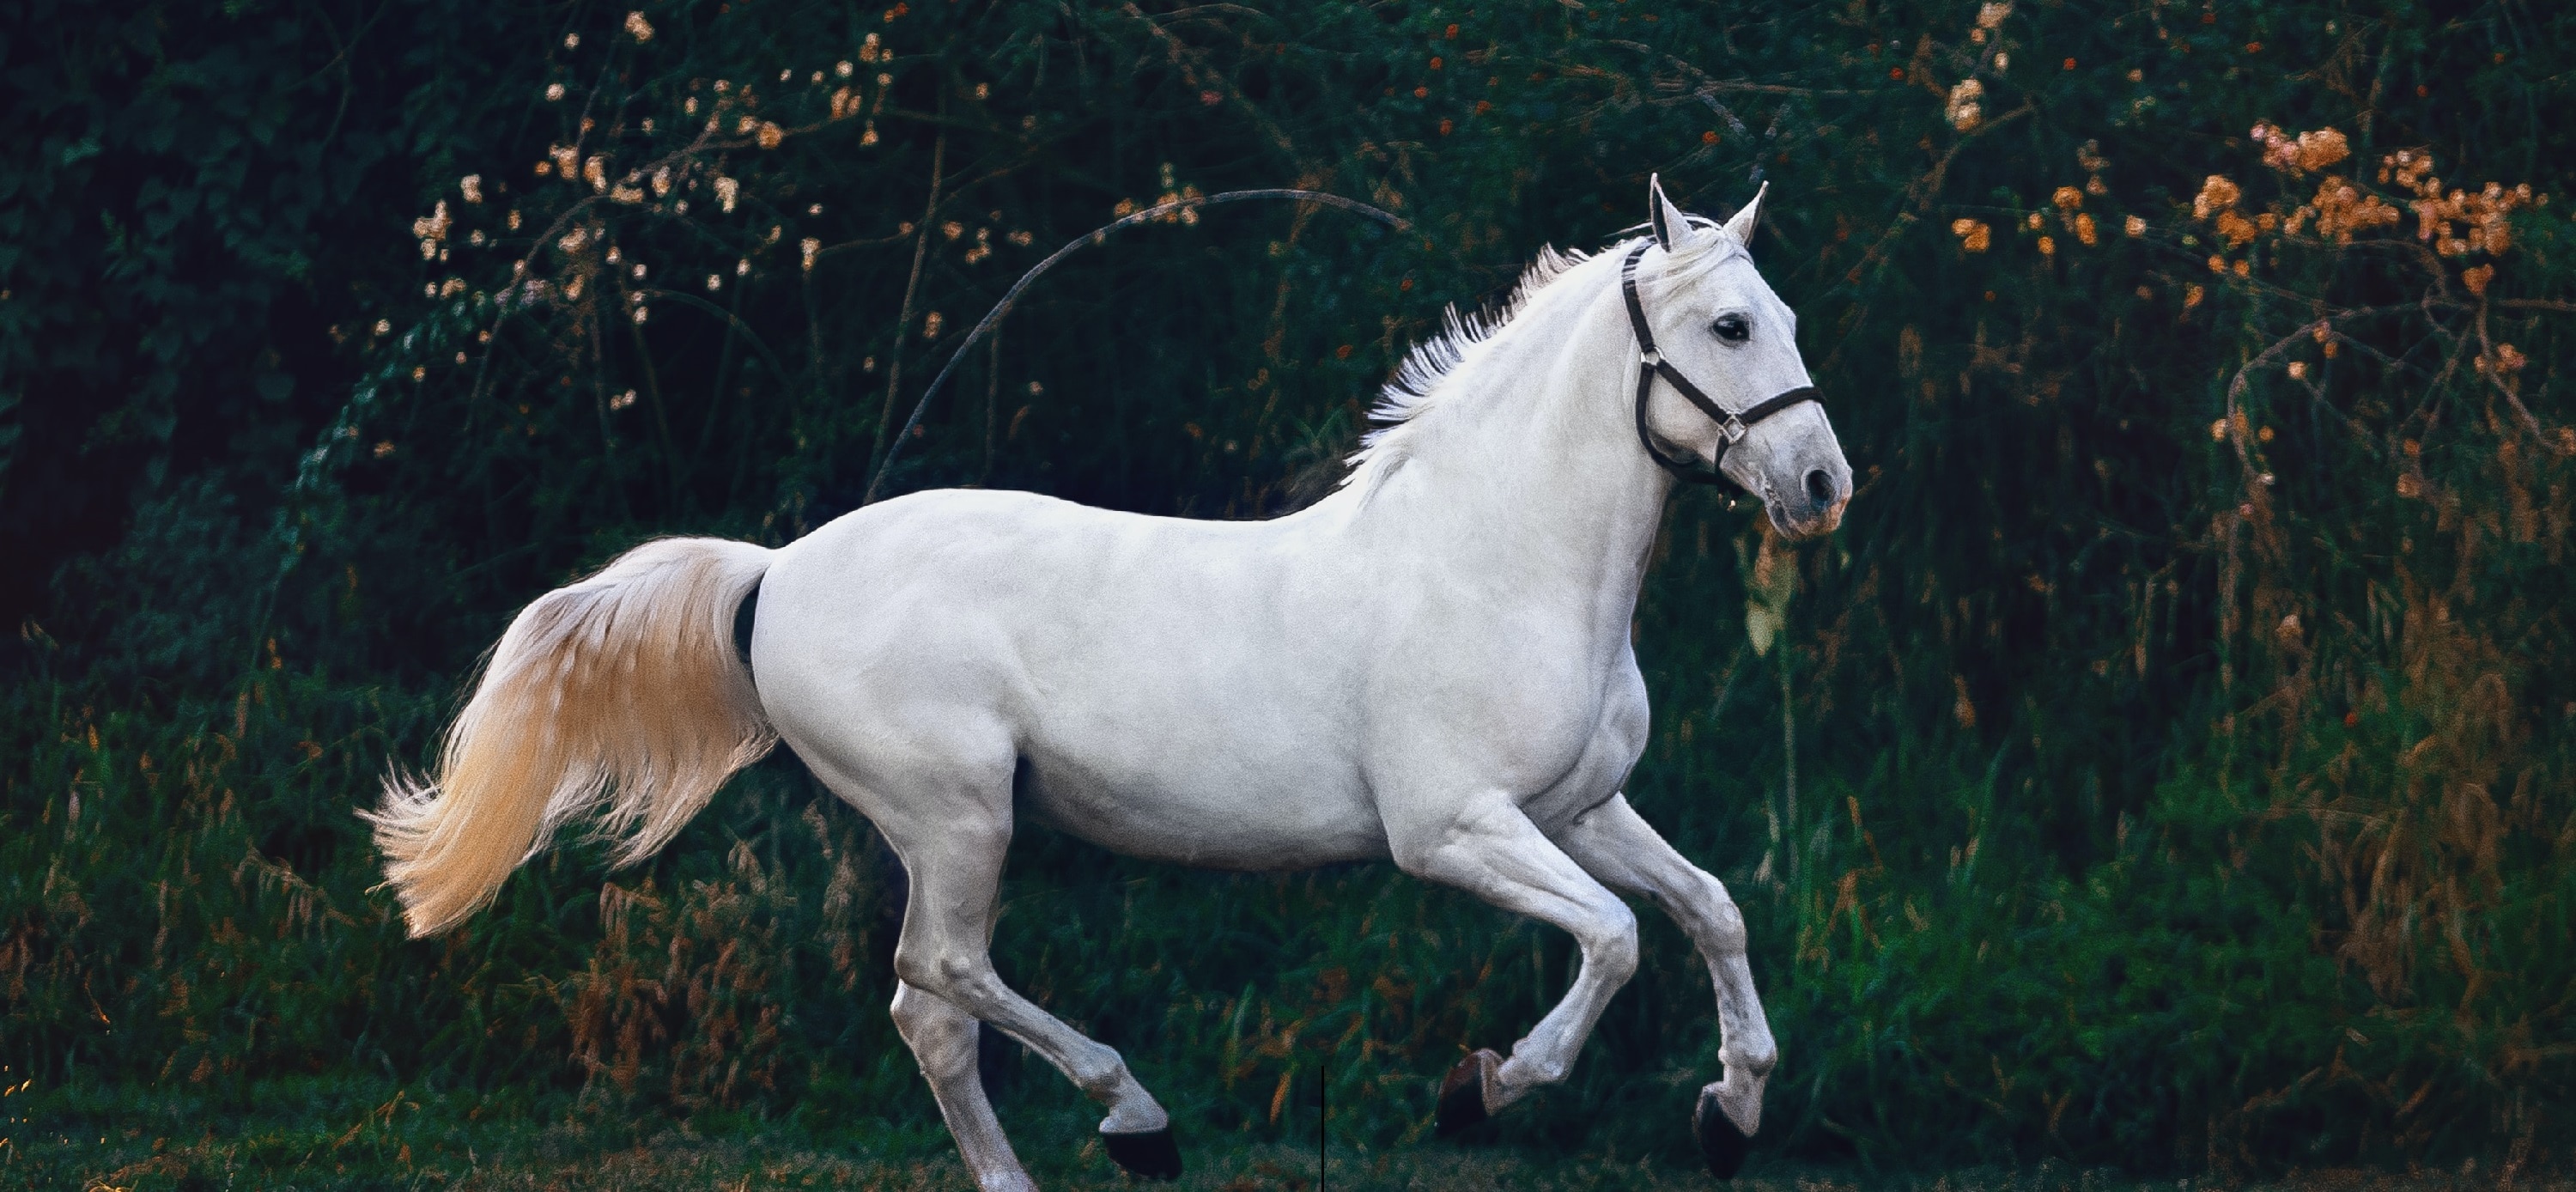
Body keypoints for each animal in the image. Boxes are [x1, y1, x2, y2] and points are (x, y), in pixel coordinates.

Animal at [368, 179, 1855, 1192]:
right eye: (1731, 325)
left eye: (1789, 317)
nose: (1823, 484)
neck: (1496, 561)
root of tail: (776, 571)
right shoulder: (1453, 831)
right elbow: (1615, 938)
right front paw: (1480, 1092)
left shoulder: (1578, 809)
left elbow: (1709, 911)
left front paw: (1732, 1111)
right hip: (958, 815)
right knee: (939, 976)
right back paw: (1135, 1118)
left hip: (952, 829)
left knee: (930, 1015)